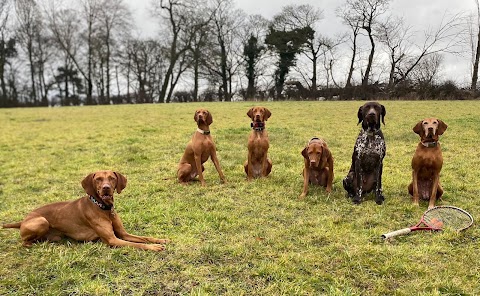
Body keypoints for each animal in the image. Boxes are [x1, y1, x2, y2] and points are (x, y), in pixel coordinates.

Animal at [2, 170, 169, 251]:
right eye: (98, 179)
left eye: (112, 178)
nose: (106, 188)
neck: (104, 208)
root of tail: (23, 220)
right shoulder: (112, 240)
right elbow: (138, 245)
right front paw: (153, 247)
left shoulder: (123, 234)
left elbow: (144, 237)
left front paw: (161, 239)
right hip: (41, 221)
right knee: (25, 243)